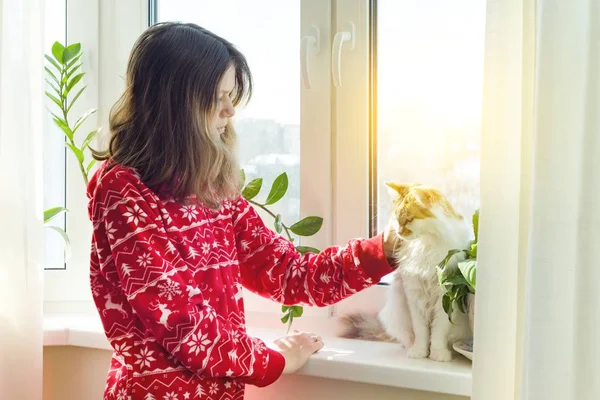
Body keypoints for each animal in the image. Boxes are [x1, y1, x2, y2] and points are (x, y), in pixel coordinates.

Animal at [338, 183, 474, 360]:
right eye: (396, 220)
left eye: (409, 220)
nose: (398, 232)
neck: (424, 245)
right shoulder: (414, 294)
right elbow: (421, 331)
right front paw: (419, 352)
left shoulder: (445, 296)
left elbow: (438, 330)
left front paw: (437, 353)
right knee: (407, 336)